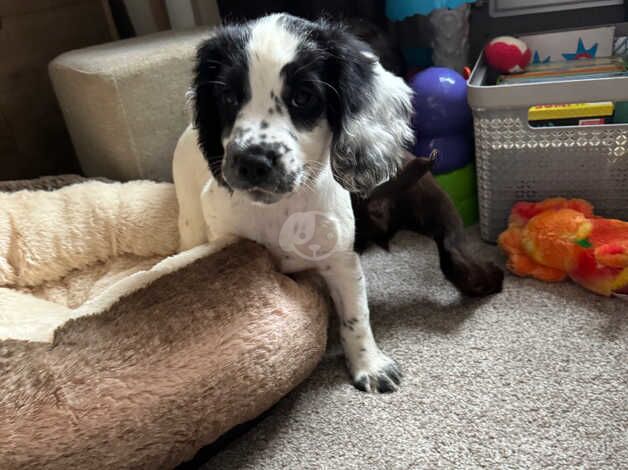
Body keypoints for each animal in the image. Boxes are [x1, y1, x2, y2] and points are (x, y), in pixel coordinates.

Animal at [174, 13, 414, 392]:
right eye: (227, 96)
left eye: (303, 96)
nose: (252, 161)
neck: (281, 209)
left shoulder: (341, 259)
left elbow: (356, 316)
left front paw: (369, 364)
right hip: (190, 223)